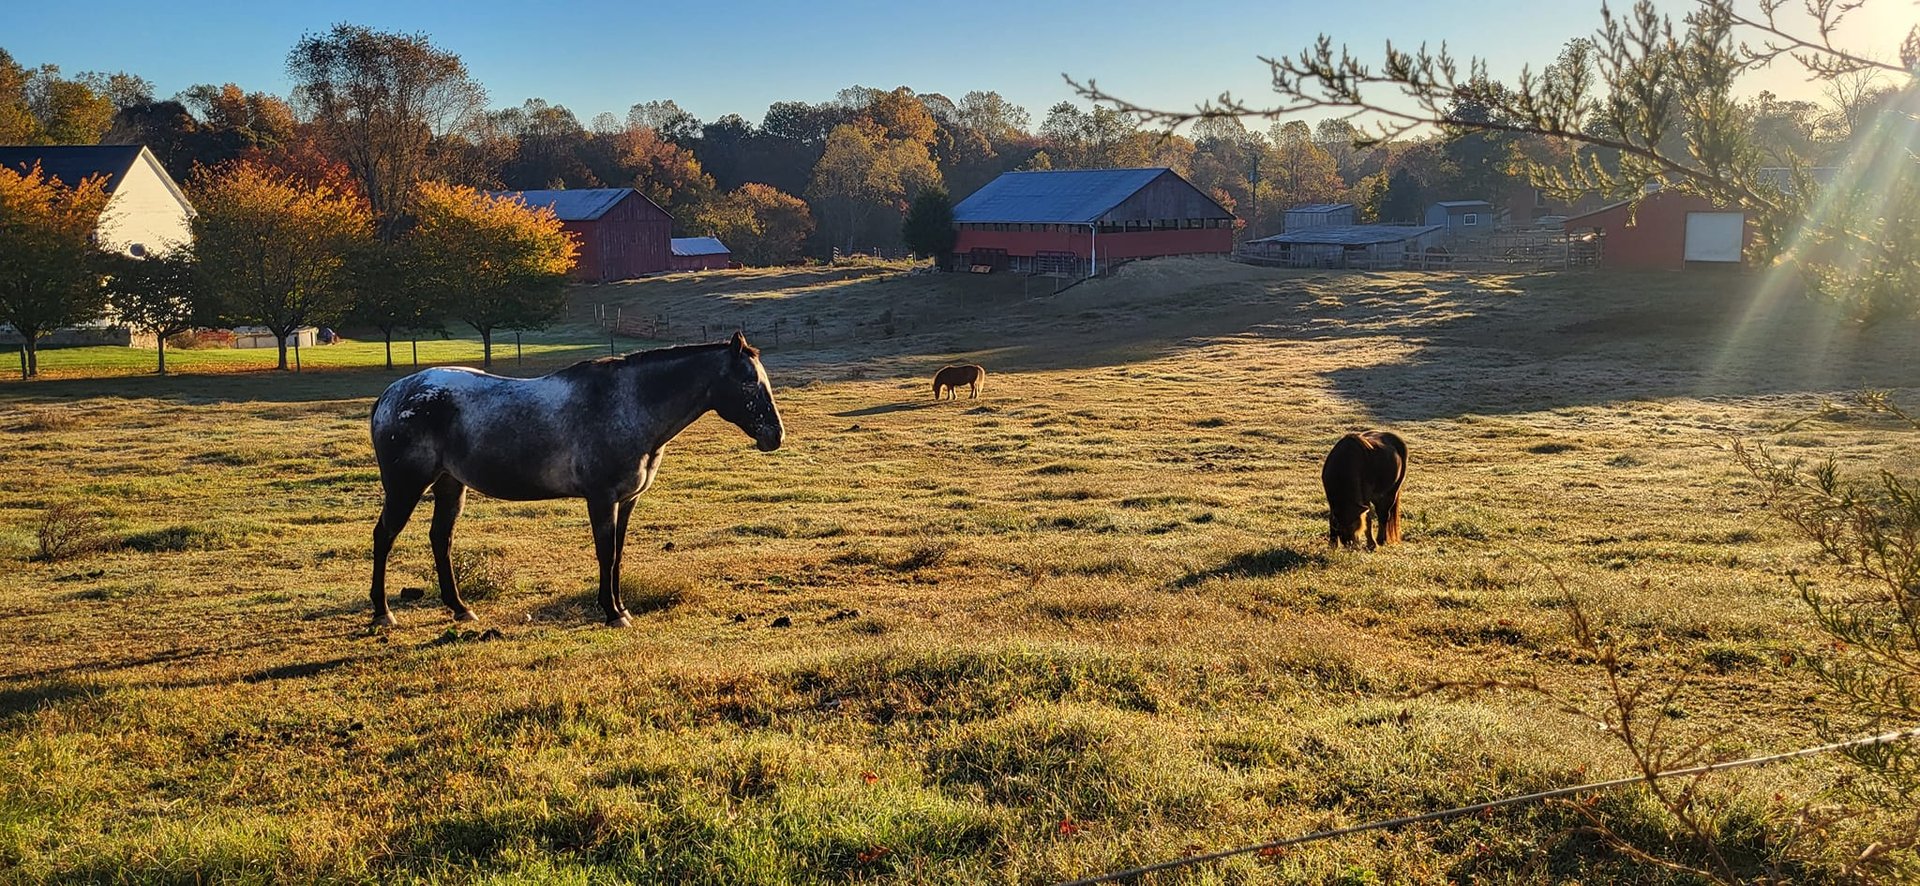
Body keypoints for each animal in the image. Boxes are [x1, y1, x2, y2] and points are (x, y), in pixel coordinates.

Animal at [362, 330, 783, 630]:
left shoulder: (626, 500)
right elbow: (605, 553)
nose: (775, 435)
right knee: (384, 536)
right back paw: (383, 613)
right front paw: (613, 613)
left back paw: (460, 608)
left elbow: (617, 555)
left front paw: (620, 607)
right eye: (749, 382)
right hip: (405, 487)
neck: (627, 404)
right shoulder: (602, 498)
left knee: (440, 540)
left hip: (450, 485)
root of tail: (391, 395)